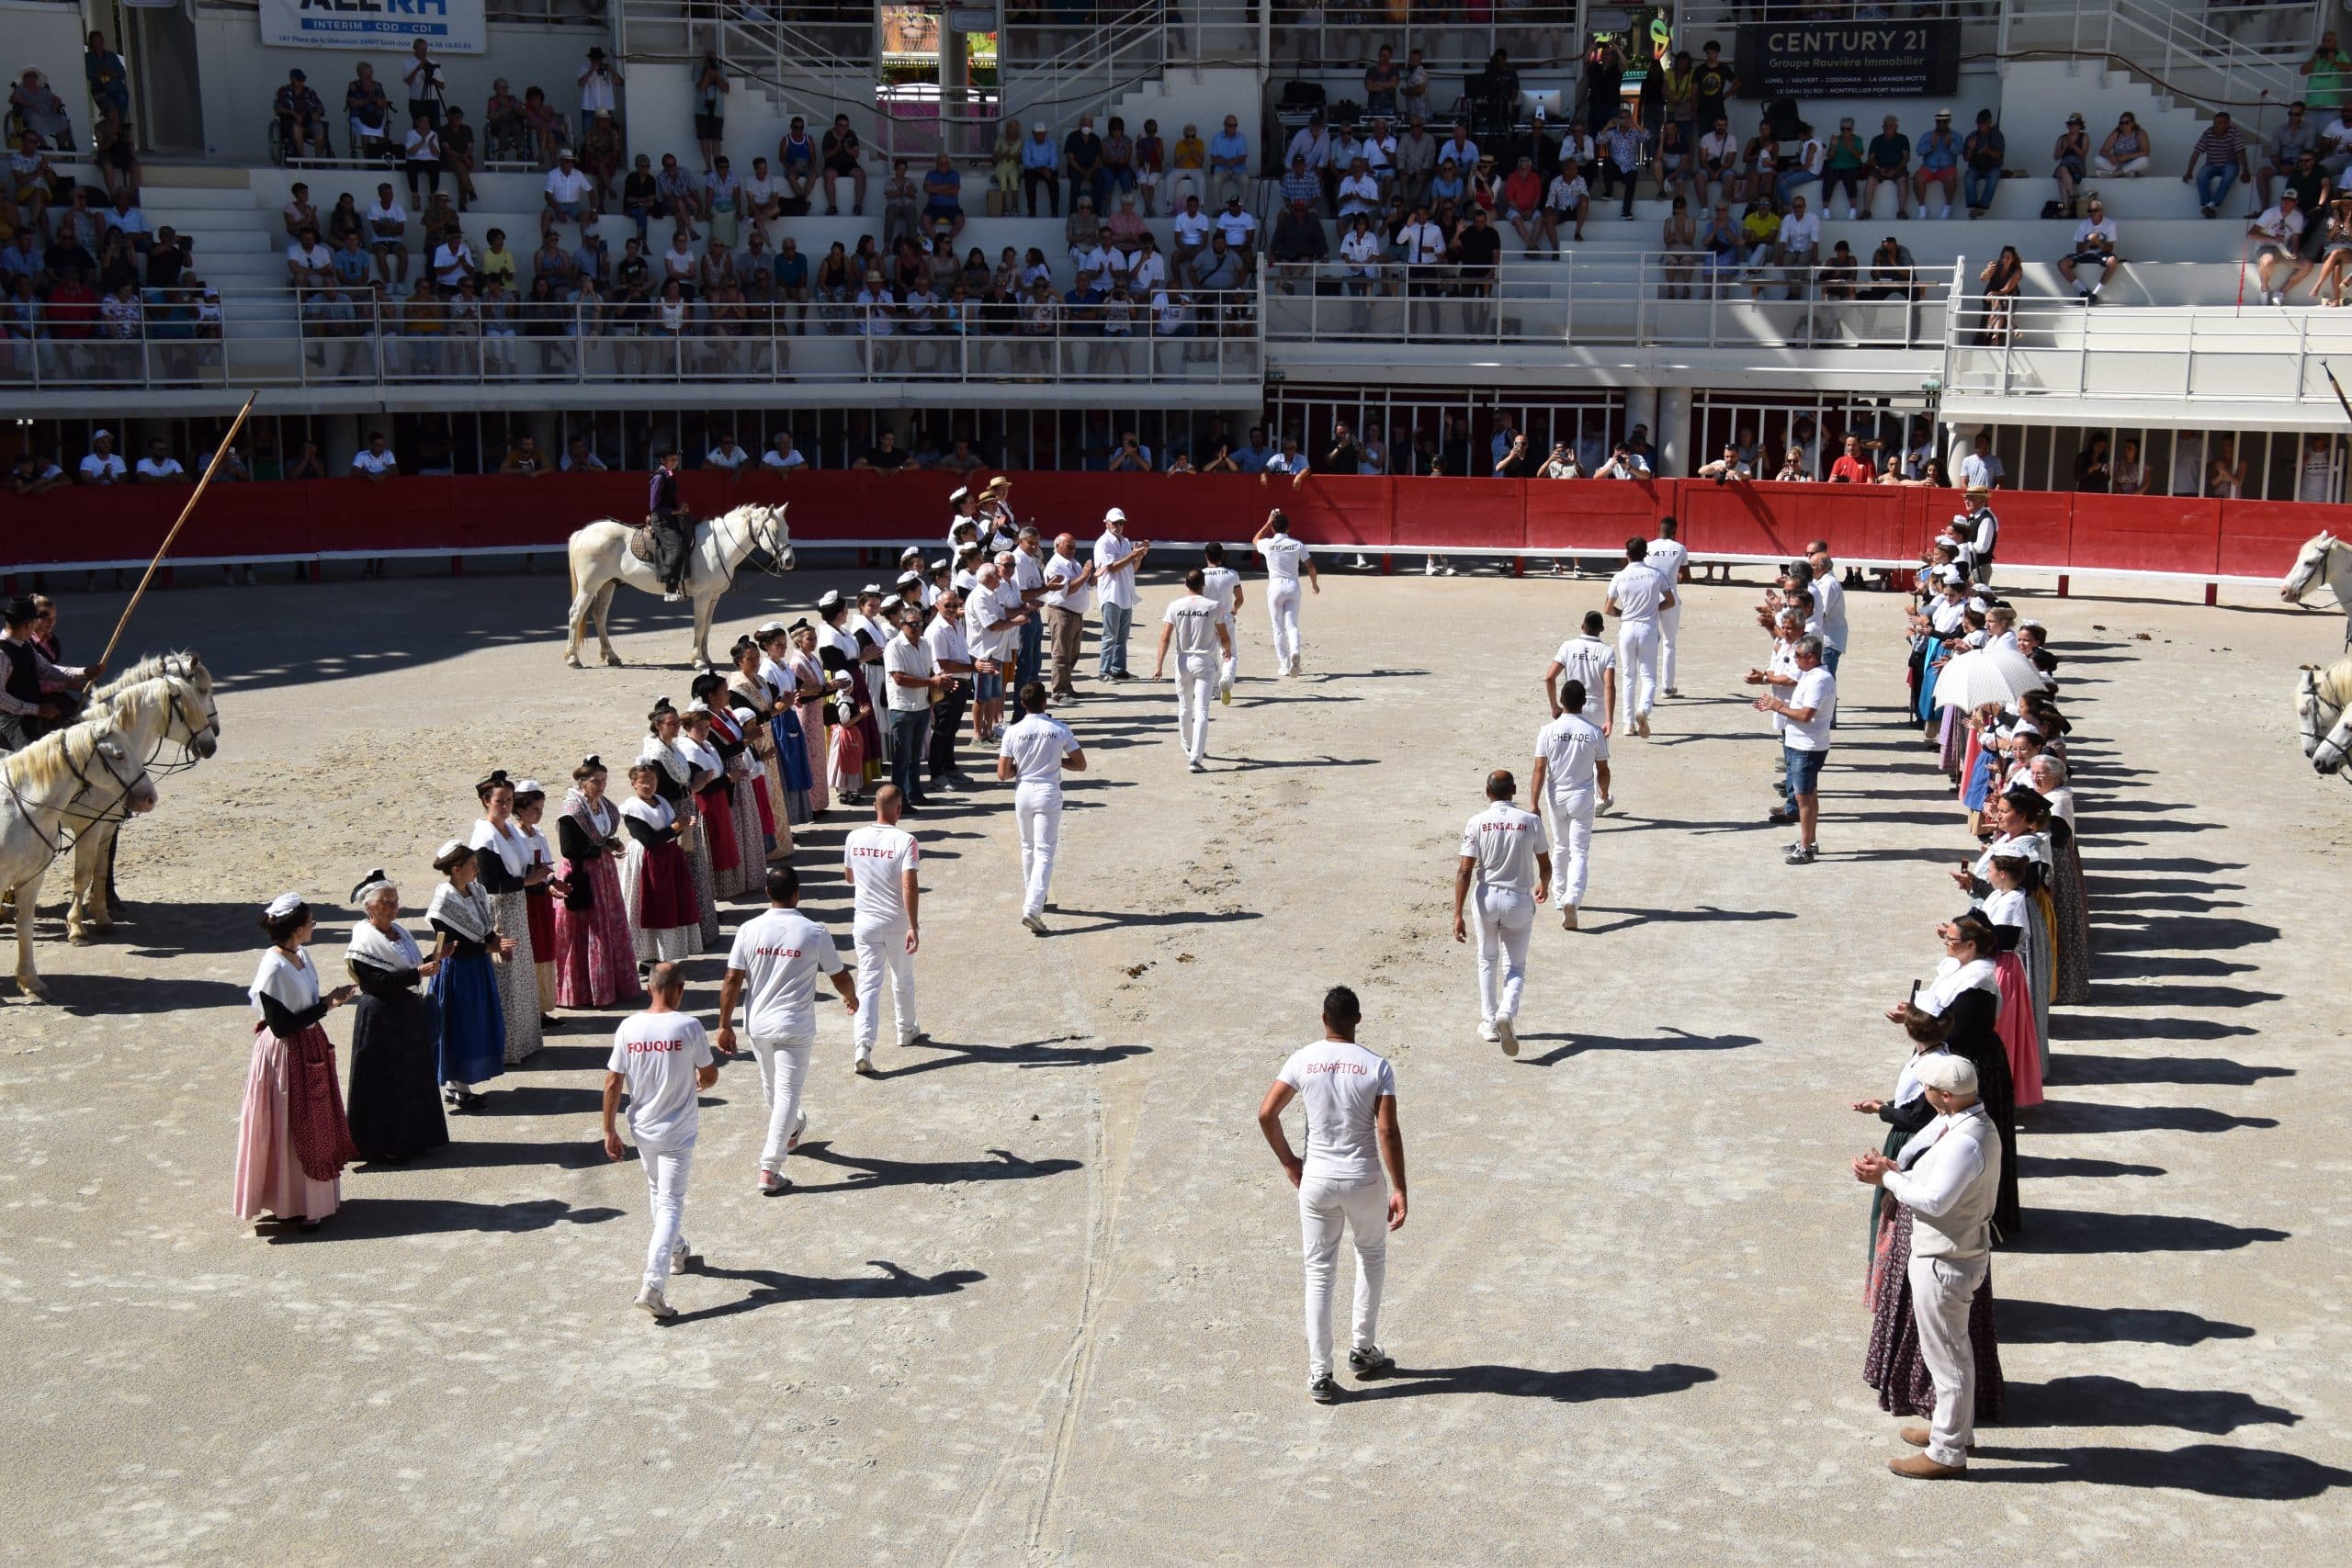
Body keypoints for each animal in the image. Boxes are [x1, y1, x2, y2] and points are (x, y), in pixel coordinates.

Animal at [1, 715, 162, 1001]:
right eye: (119, 755)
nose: (149, 798)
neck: (19, 807)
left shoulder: (31, 879)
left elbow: (25, 928)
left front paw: (31, 983)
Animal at [65, 653, 220, 944]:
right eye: (201, 692)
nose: (211, 743)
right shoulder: (89, 827)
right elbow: (82, 874)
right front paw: (78, 927)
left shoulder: (107, 825)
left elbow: (101, 867)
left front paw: (103, 914)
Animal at [561, 505, 799, 671]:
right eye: (774, 531)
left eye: (788, 529)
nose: (789, 561)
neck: (719, 547)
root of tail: (584, 532)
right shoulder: (702, 597)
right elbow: (699, 625)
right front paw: (698, 660)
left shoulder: (713, 597)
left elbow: (708, 626)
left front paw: (706, 657)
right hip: (589, 586)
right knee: (575, 614)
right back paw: (573, 658)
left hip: (607, 584)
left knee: (599, 615)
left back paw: (611, 656)